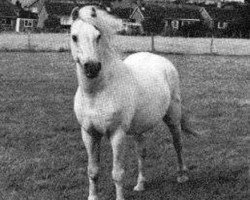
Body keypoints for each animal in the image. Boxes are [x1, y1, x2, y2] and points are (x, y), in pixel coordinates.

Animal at [70, 4, 197, 200]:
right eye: (74, 36)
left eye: (98, 36)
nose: (92, 67)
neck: (97, 93)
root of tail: (161, 60)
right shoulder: (89, 134)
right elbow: (92, 170)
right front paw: (93, 196)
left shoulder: (117, 134)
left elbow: (117, 173)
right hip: (139, 127)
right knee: (141, 153)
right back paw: (140, 184)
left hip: (173, 117)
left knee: (178, 144)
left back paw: (182, 176)